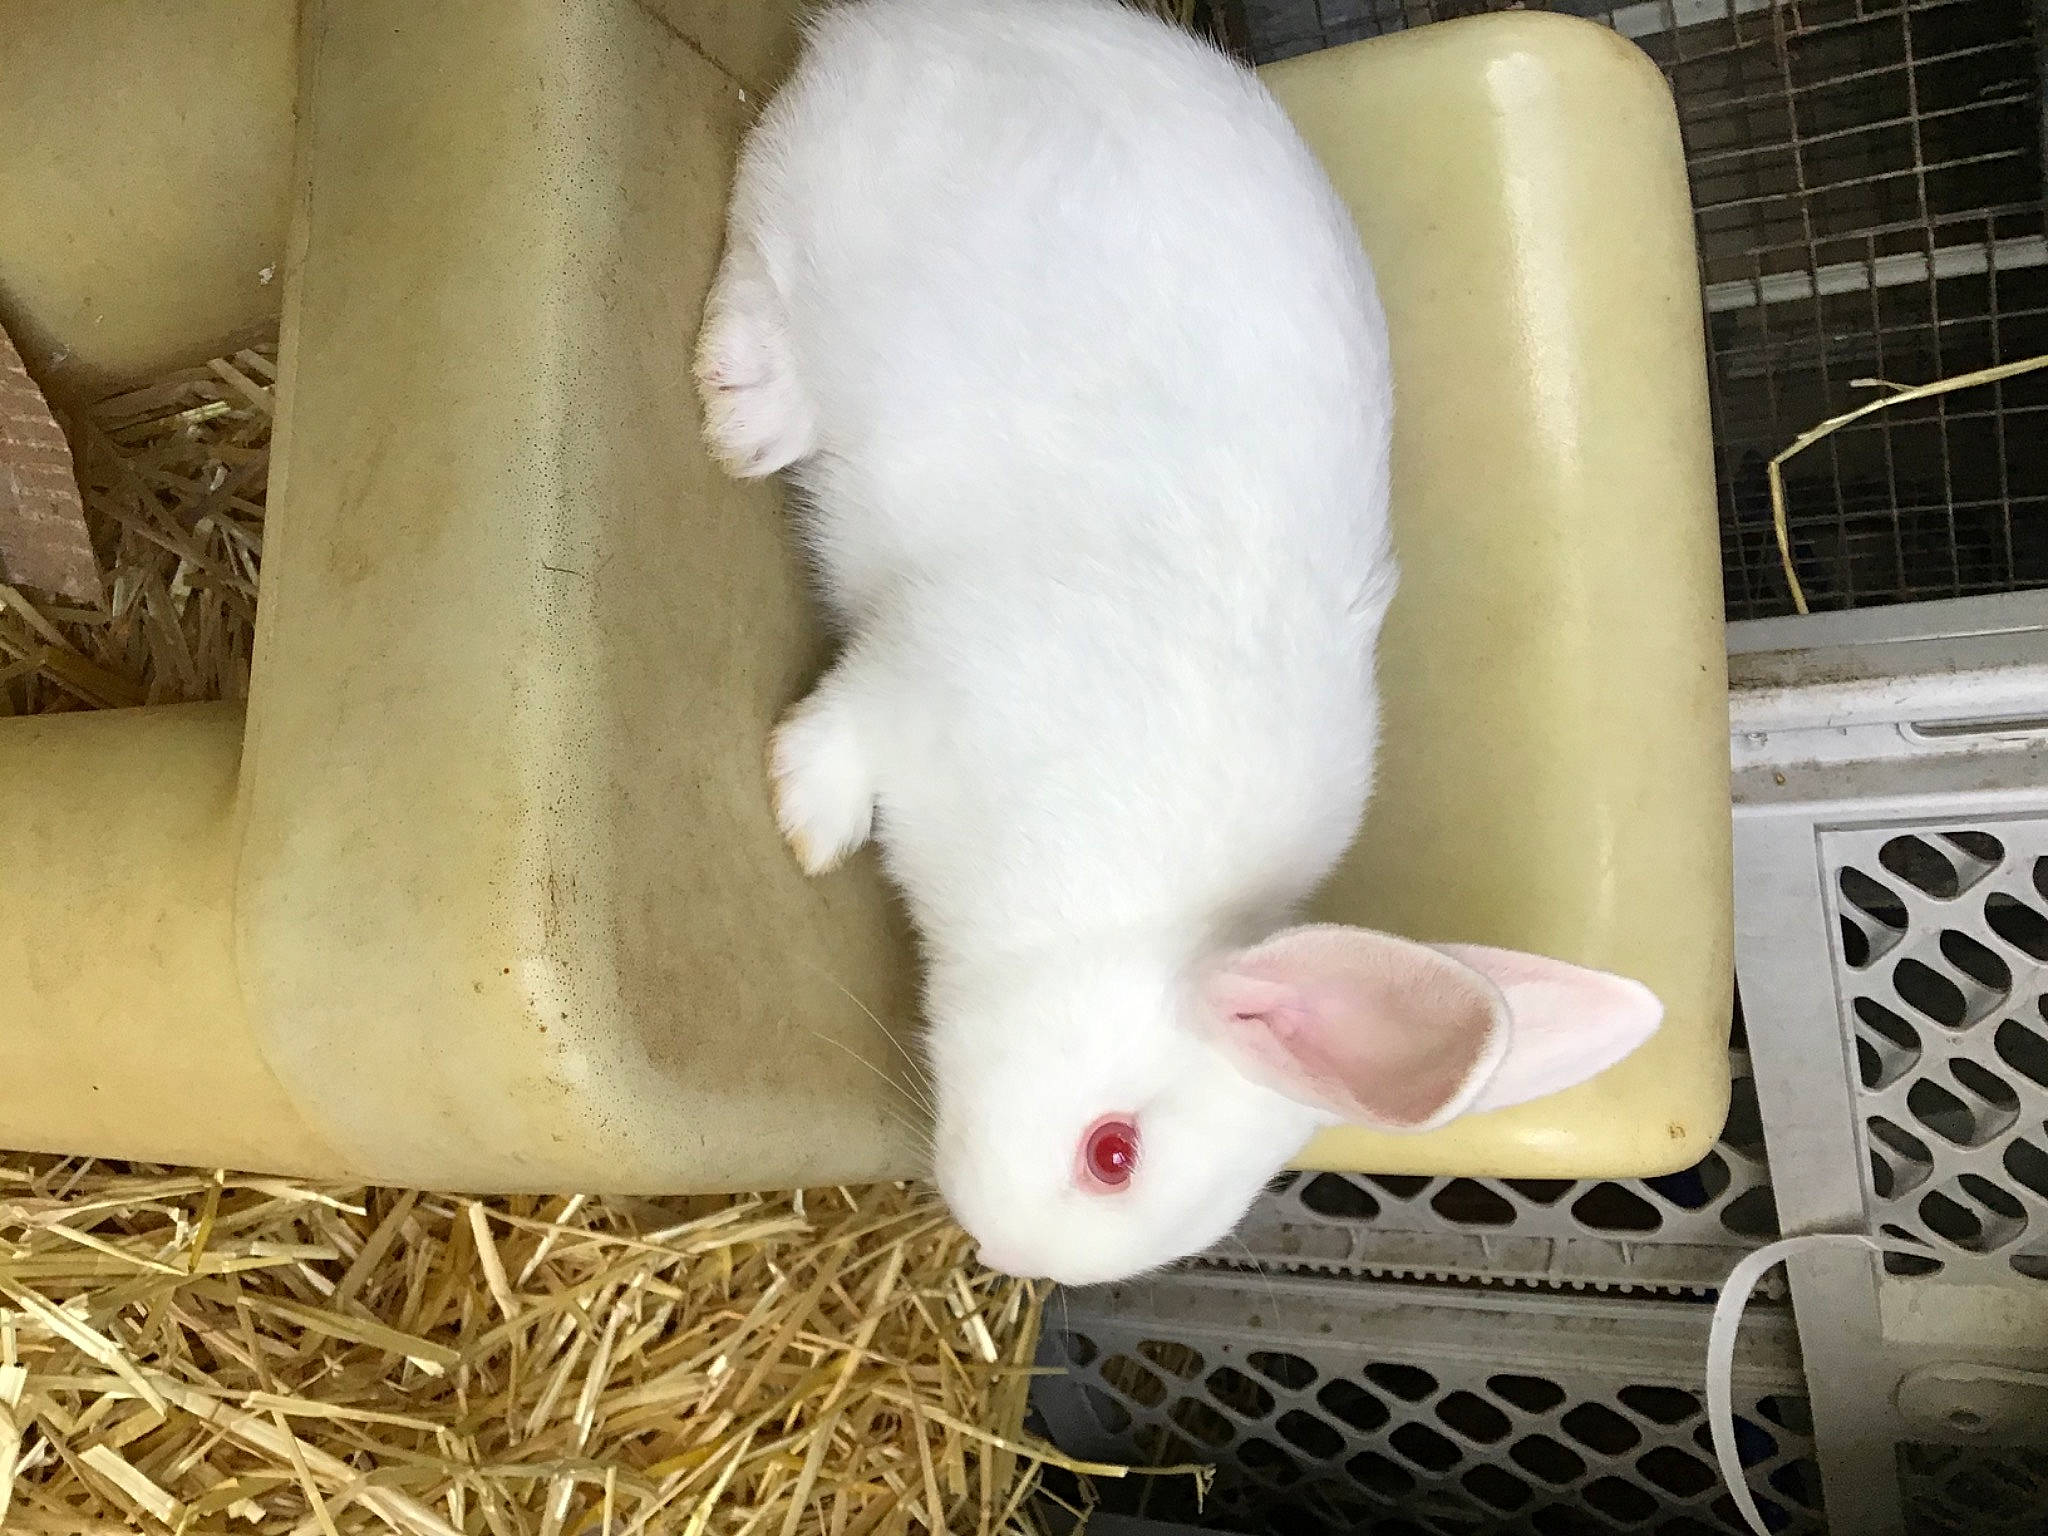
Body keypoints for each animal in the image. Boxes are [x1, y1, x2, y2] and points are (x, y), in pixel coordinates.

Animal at [696, 0, 1663, 1286]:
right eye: (1112, 1153)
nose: (1005, 1256)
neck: (1117, 921)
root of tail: (924, 22)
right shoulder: (934, 669)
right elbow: (843, 725)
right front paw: (807, 823)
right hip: (833, 207)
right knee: (763, 237)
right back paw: (743, 408)